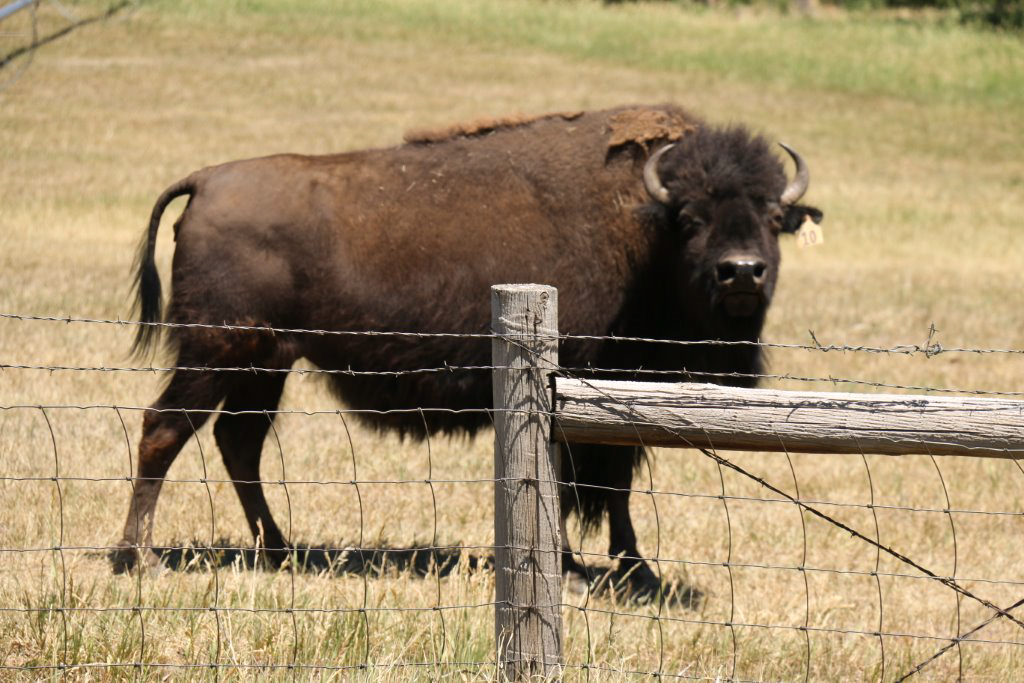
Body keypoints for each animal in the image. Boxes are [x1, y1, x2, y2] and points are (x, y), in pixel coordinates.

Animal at [116, 102, 823, 598]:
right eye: (691, 220)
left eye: (771, 216)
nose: (741, 272)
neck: (641, 231)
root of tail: (206, 180)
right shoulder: (574, 395)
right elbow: (575, 484)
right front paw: (577, 571)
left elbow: (615, 487)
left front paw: (636, 572)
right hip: (214, 356)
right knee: (164, 430)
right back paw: (140, 559)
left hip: (264, 365)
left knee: (238, 444)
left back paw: (280, 553)